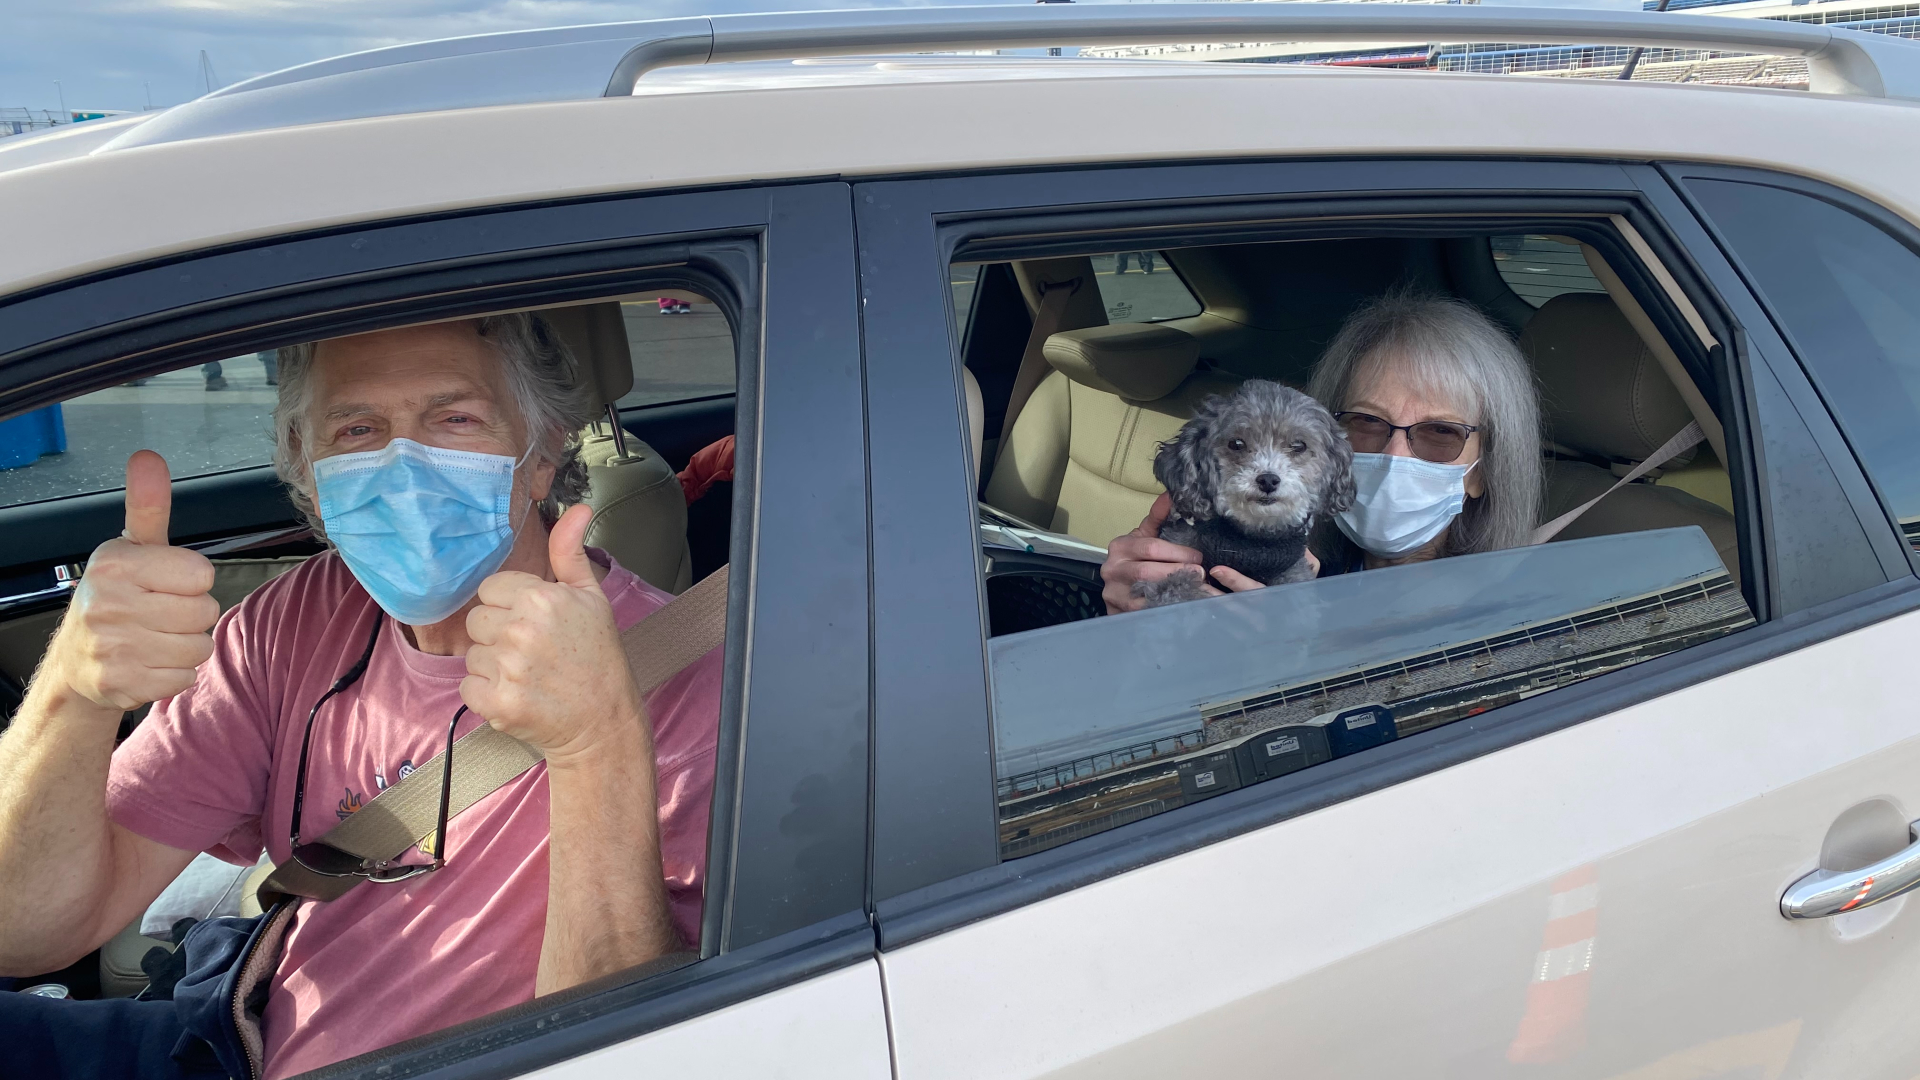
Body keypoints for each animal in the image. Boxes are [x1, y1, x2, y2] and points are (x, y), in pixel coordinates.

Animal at [1128, 376, 1359, 607]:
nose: (1268, 480)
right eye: (1236, 443)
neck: (1250, 541)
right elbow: (1174, 590)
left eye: (1298, 445)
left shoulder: (1294, 571)